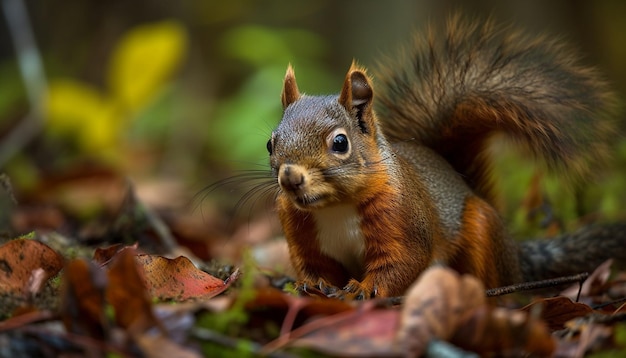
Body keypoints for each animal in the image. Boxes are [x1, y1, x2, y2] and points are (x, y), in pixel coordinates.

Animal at [264, 15, 624, 298]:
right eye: (270, 143)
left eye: (340, 143)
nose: (290, 177)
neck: (334, 208)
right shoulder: (300, 232)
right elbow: (313, 266)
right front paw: (310, 286)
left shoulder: (404, 218)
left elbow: (402, 262)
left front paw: (363, 290)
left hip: (481, 229)